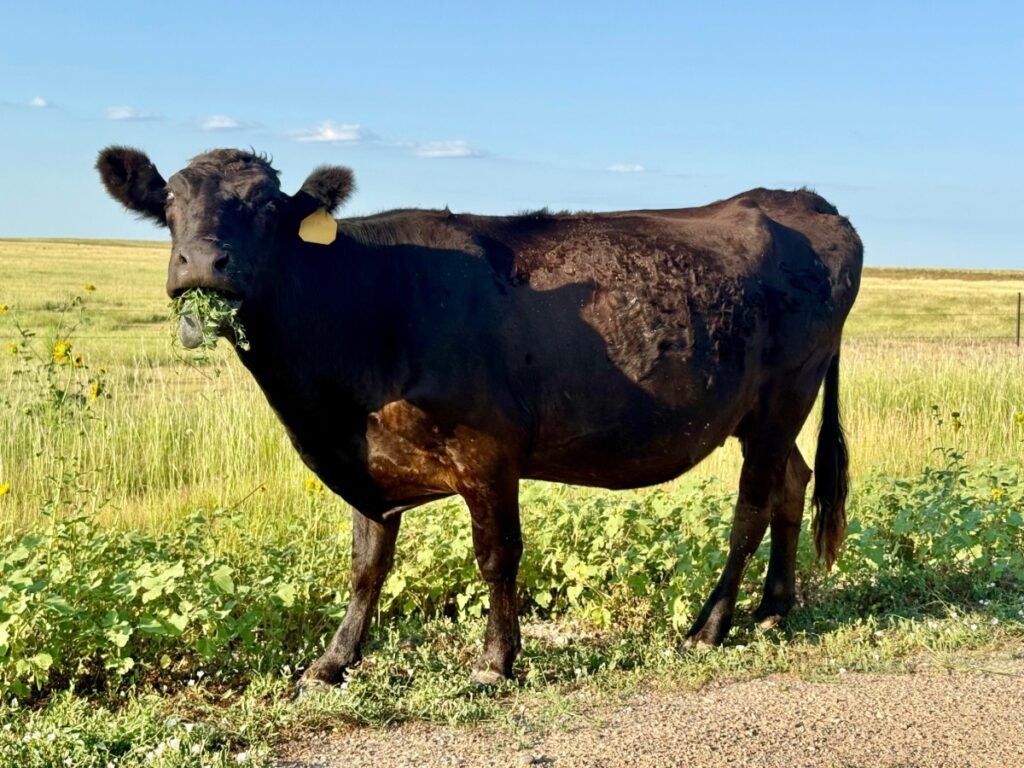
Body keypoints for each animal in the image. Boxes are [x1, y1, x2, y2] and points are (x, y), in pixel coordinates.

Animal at [96, 146, 862, 690]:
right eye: (170, 199)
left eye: (264, 206)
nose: (202, 263)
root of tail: (807, 201)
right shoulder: (369, 460)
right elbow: (366, 567)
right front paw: (332, 662)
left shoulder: (487, 451)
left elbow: (497, 556)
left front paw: (495, 661)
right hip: (765, 413)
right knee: (793, 483)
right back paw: (774, 606)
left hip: (783, 396)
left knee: (751, 508)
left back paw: (712, 624)